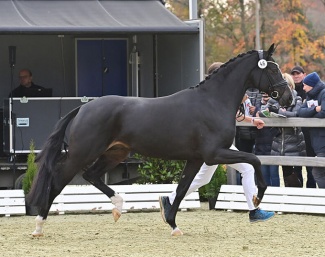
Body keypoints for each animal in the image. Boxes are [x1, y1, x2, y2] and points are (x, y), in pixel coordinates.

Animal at [27, 43, 292, 235]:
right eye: (271, 68)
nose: (288, 98)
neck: (213, 101)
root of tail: (83, 108)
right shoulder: (214, 154)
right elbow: (255, 160)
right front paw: (258, 196)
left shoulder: (196, 159)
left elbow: (183, 188)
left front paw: (173, 224)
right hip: (82, 154)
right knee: (58, 181)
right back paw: (38, 226)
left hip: (115, 152)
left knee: (92, 175)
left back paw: (119, 206)